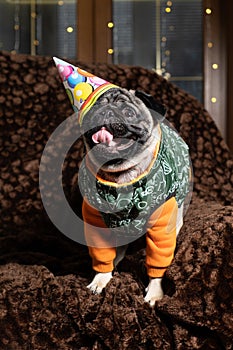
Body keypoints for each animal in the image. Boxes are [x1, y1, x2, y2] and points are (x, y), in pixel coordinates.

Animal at [78, 87, 191, 306]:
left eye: (129, 113)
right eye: (93, 111)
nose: (107, 112)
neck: (121, 177)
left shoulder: (162, 224)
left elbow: (157, 263)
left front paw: (155, 293)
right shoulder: (95, 221)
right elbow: (102, 255)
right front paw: (100, 279)